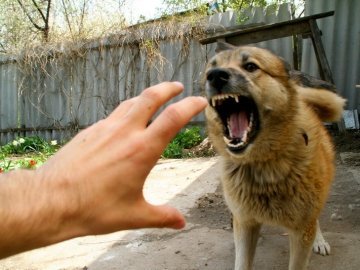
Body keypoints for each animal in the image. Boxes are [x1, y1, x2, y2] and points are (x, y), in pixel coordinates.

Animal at [204, 42, 344, 270]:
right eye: (211, 68)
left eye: (251, 66)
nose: (215, 76)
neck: (264, 165)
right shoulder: (245, 223)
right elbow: (242, 261)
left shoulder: (301, 231)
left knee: (316, 219)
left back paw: (320, 240)